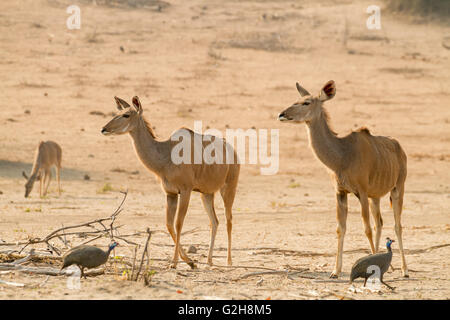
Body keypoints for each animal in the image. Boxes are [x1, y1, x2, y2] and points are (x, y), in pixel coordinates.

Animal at [100, 95, 241, 268]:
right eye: (118, 113)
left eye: (126, 115)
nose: (104, 129)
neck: (166, 155)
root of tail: (233, 151)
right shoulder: (171, 194)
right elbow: (169, 224)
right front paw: (190, 261)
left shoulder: (185, 191)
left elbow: (178, 223)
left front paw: (174, 262)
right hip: (206, 194)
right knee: (214, 221)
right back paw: (209, 261)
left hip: (228, 188)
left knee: (229, 220)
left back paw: (229, 261)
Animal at [278, 81, 408, 278]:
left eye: (306, 102)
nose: (282, 114)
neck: (343, 155)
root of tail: (400, 148)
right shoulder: (341, 192)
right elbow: (341, 228)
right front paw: (335, 271)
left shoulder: (361, 192)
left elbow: (366, 228)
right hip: (375, 197)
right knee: (379, 223)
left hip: (397, 189)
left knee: (397, 225)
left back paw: (404, 270)